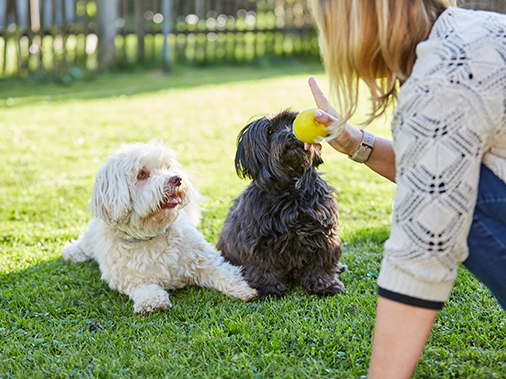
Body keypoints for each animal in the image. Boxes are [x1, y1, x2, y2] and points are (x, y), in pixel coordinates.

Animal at [62, 141, 256, 316]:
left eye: (167, 167)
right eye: (142, 174)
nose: (177, 179)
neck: (151, 233)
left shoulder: (203, 259)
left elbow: (223, 272)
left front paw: (243, 289)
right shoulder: (129, 278)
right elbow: (145, 287)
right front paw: (152, 303)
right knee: (85, 243)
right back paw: (72, 252)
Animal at [217, 110, 344, 302]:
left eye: (292, 123)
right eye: (270, 131)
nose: (291, 135)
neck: (290, 193)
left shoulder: (323, 234)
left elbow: (320, 263)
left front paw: (324, 285)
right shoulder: (259, 242)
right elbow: (264, 267)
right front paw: (269, 289)